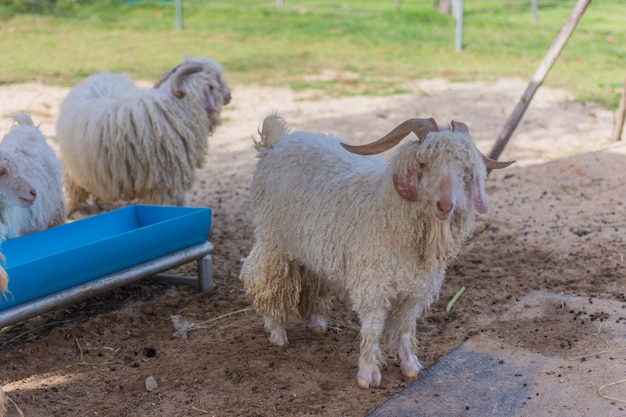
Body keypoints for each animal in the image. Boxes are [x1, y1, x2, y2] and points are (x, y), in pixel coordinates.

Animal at [54, 55, 230, 213]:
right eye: (217, 78)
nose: (229, 96)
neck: (176, 108)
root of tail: (99, 77)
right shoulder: (162, 184)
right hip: (75, 165)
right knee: (75, 186)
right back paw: (74, 208)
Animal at [239, 113, 512, 386]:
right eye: (424, 164)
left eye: (465, 171)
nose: (445, 206)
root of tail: (276, 143)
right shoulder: (373, 285)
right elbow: (373, 327)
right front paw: (368, 374)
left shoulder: (416, 289)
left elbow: (405, 327)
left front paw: (410, 365)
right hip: (273, 240)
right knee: (261, 278)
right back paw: (276, 332)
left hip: (309, 245)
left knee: (313, 279)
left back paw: (316, 321)